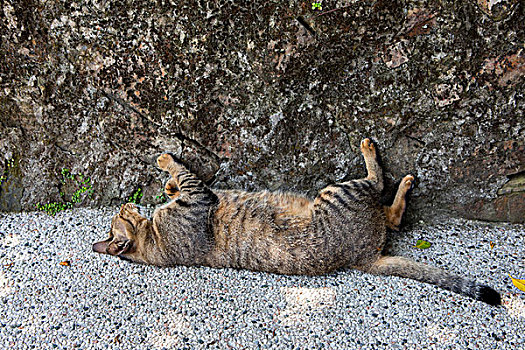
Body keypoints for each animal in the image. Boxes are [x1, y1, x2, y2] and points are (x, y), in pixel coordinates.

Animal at [92, 138, 502, 304]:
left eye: (119, 215)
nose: (125, 206)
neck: (154, 241)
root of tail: (365, 258)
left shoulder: (193, 196)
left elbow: (180, 179)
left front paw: (166, 180)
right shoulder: (198, 199)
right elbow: (185, 172)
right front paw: (166, 162)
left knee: (390, 214)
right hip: (338, 192)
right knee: (381, 191)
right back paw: (381, 161)